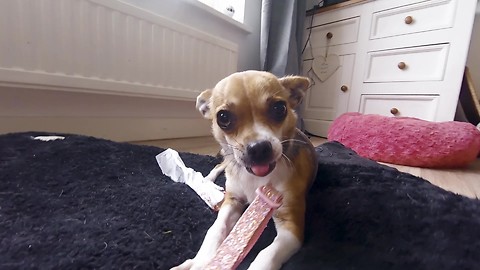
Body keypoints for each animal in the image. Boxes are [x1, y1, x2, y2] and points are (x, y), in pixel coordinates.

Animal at [171, 70, 316, 270]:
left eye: (279, 108)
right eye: (223, 117)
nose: (259, 148)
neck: (254, 178)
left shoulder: (290, 227)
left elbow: (267, 254)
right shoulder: (232, 202)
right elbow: (215, 230)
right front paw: (200, 261)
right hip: (228, 160)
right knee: (220, 165)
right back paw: (207, 180)